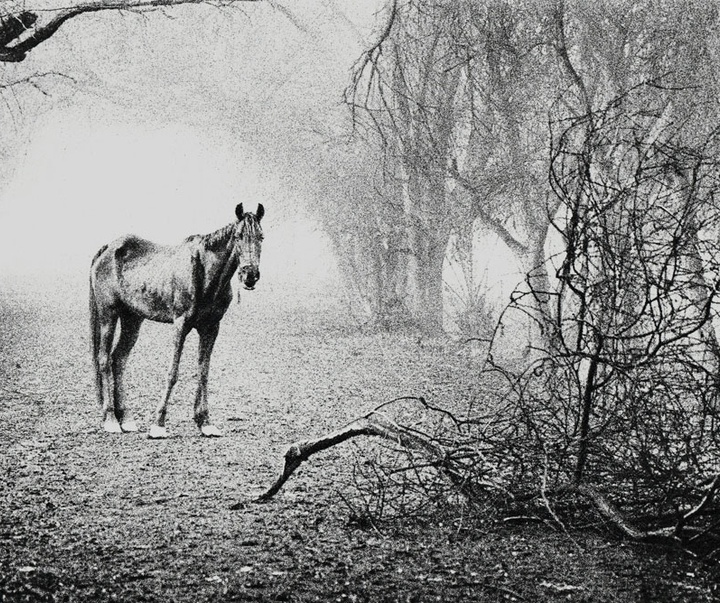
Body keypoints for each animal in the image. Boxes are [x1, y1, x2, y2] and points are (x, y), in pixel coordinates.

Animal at [88, 204, 264, 438]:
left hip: (132, 318)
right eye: (238, 236)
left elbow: (203, 372)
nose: (250, 275)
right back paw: (110, 420)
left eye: (261, 237)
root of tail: (108, 248)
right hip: (108, 313)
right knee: (104, 359)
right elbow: (173, 373)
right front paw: (159, 424)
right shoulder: (181, 325)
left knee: (119, 359)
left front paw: (205, 422)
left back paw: (126, 419)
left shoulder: (211, 327)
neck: (205, 273)